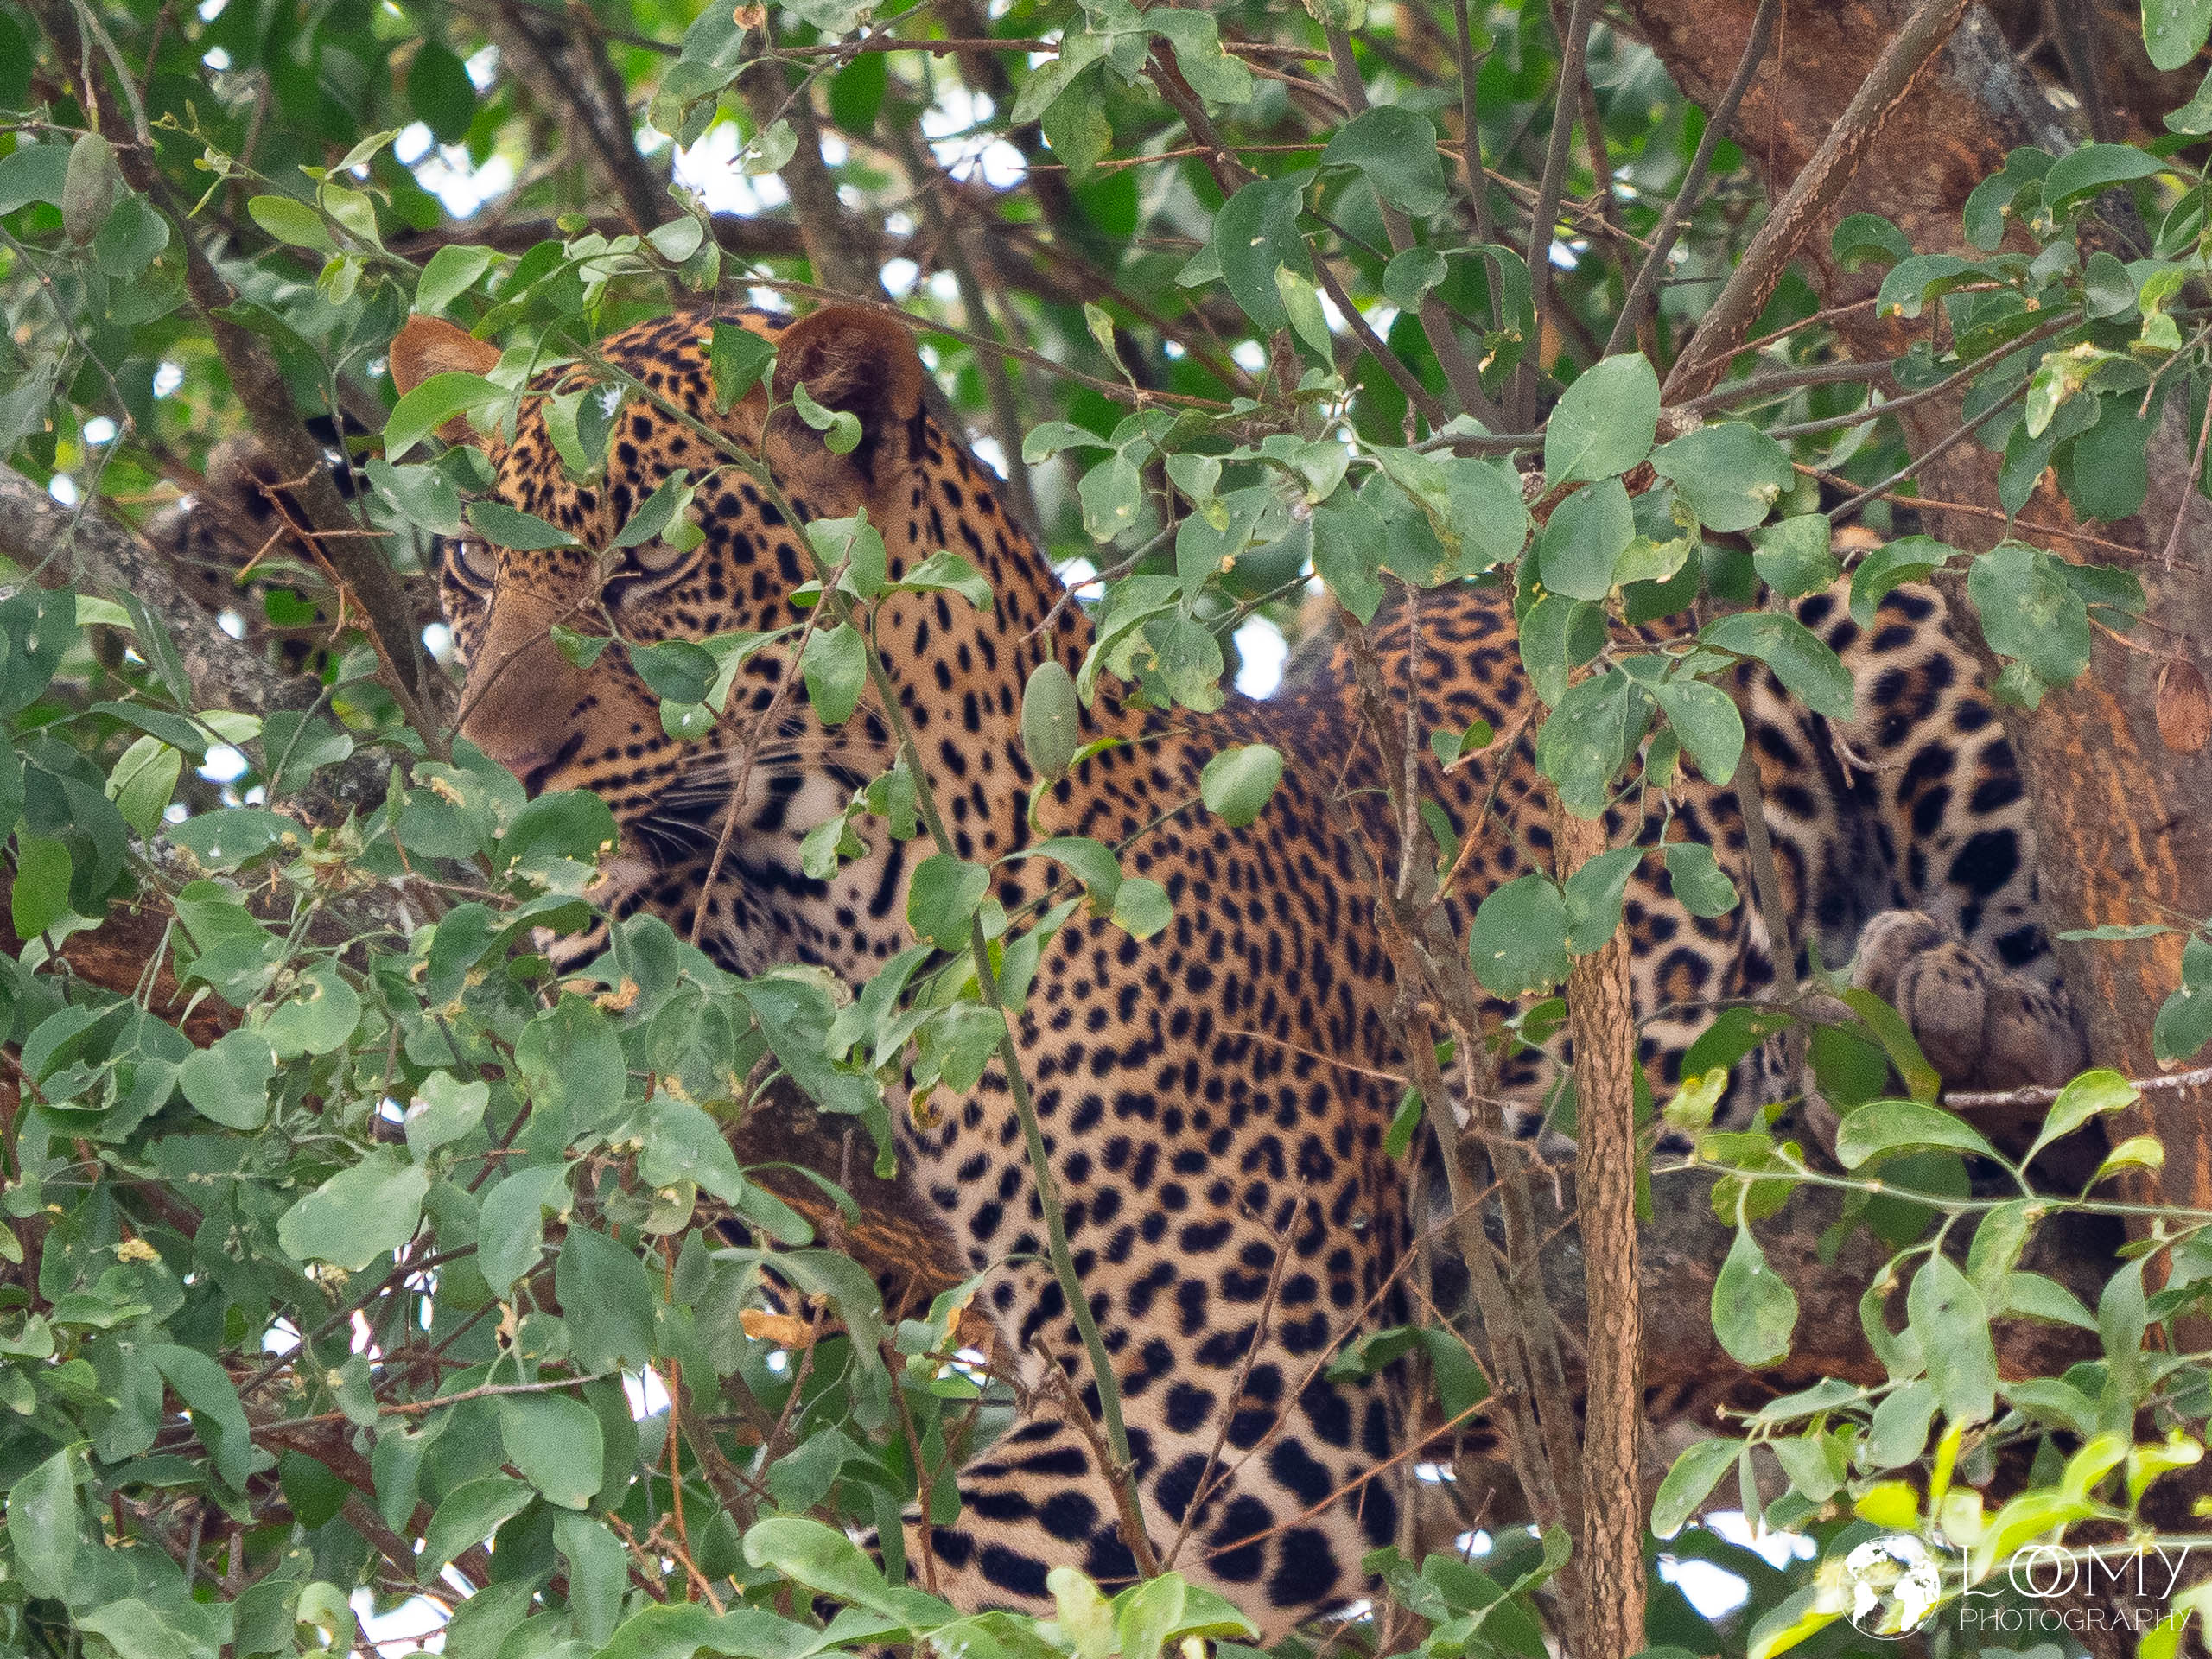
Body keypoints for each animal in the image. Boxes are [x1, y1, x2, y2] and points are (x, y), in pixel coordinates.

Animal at [384, 302, 2084, 1640]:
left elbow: (911, 1586)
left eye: (649, 563)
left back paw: (1953, 1033)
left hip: (1877, 597)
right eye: (469, 559)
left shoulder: (1233, 1391)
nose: (491, 775)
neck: (847, 902)